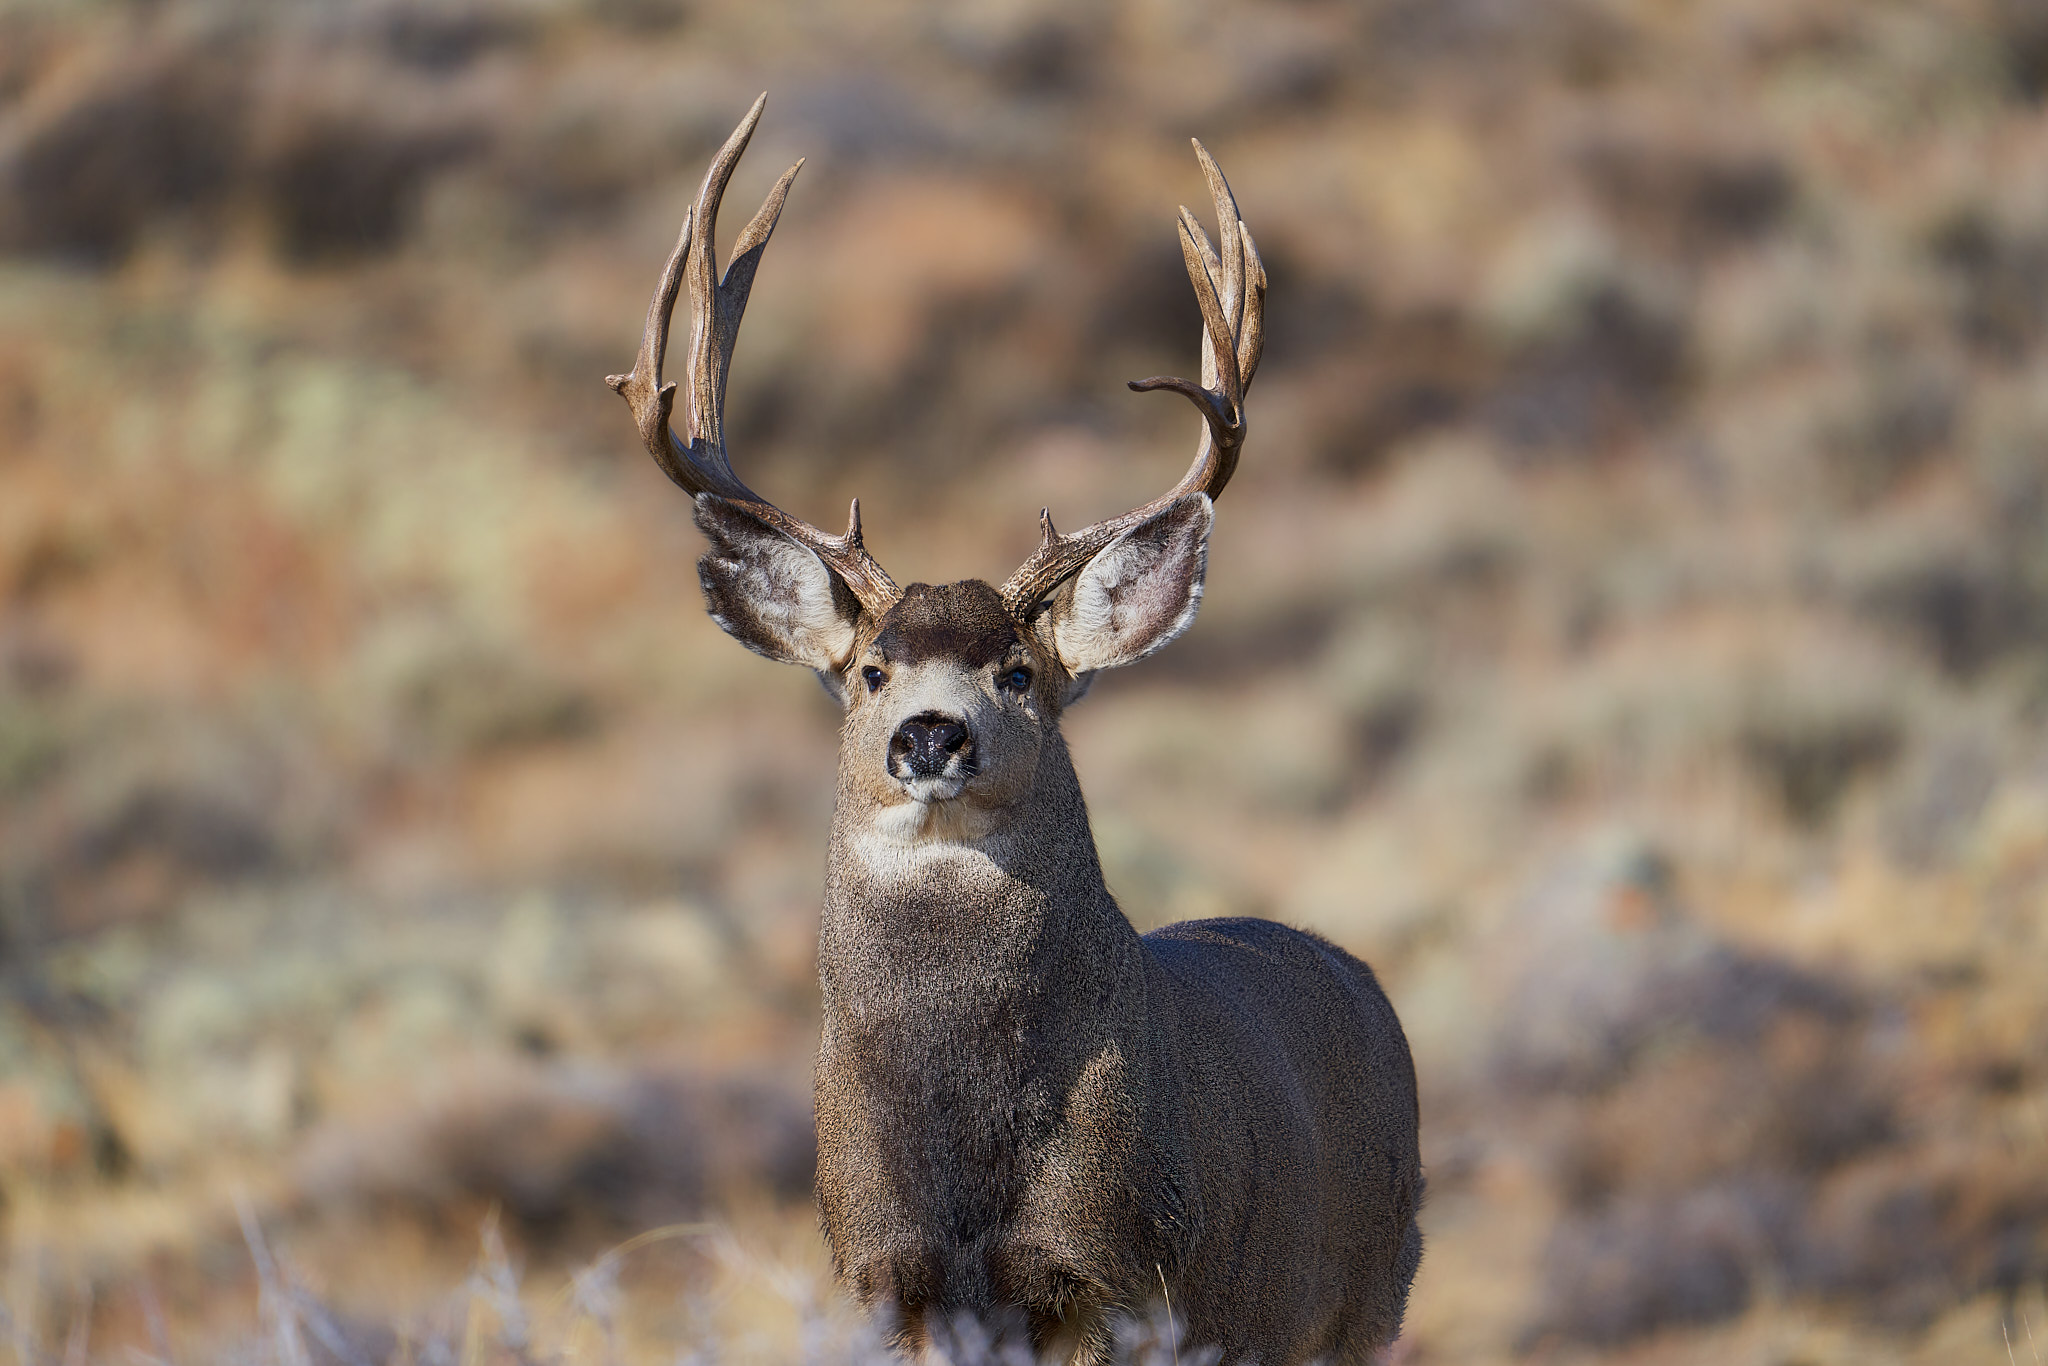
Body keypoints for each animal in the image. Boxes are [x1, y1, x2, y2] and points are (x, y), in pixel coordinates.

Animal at [606, 95, 1423, 1365]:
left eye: (1019, 671)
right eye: (870, 671)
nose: (931, 735)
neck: (957, 1139)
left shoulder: (1116, 1273)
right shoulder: (883, 1272)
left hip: (1358, 1301)